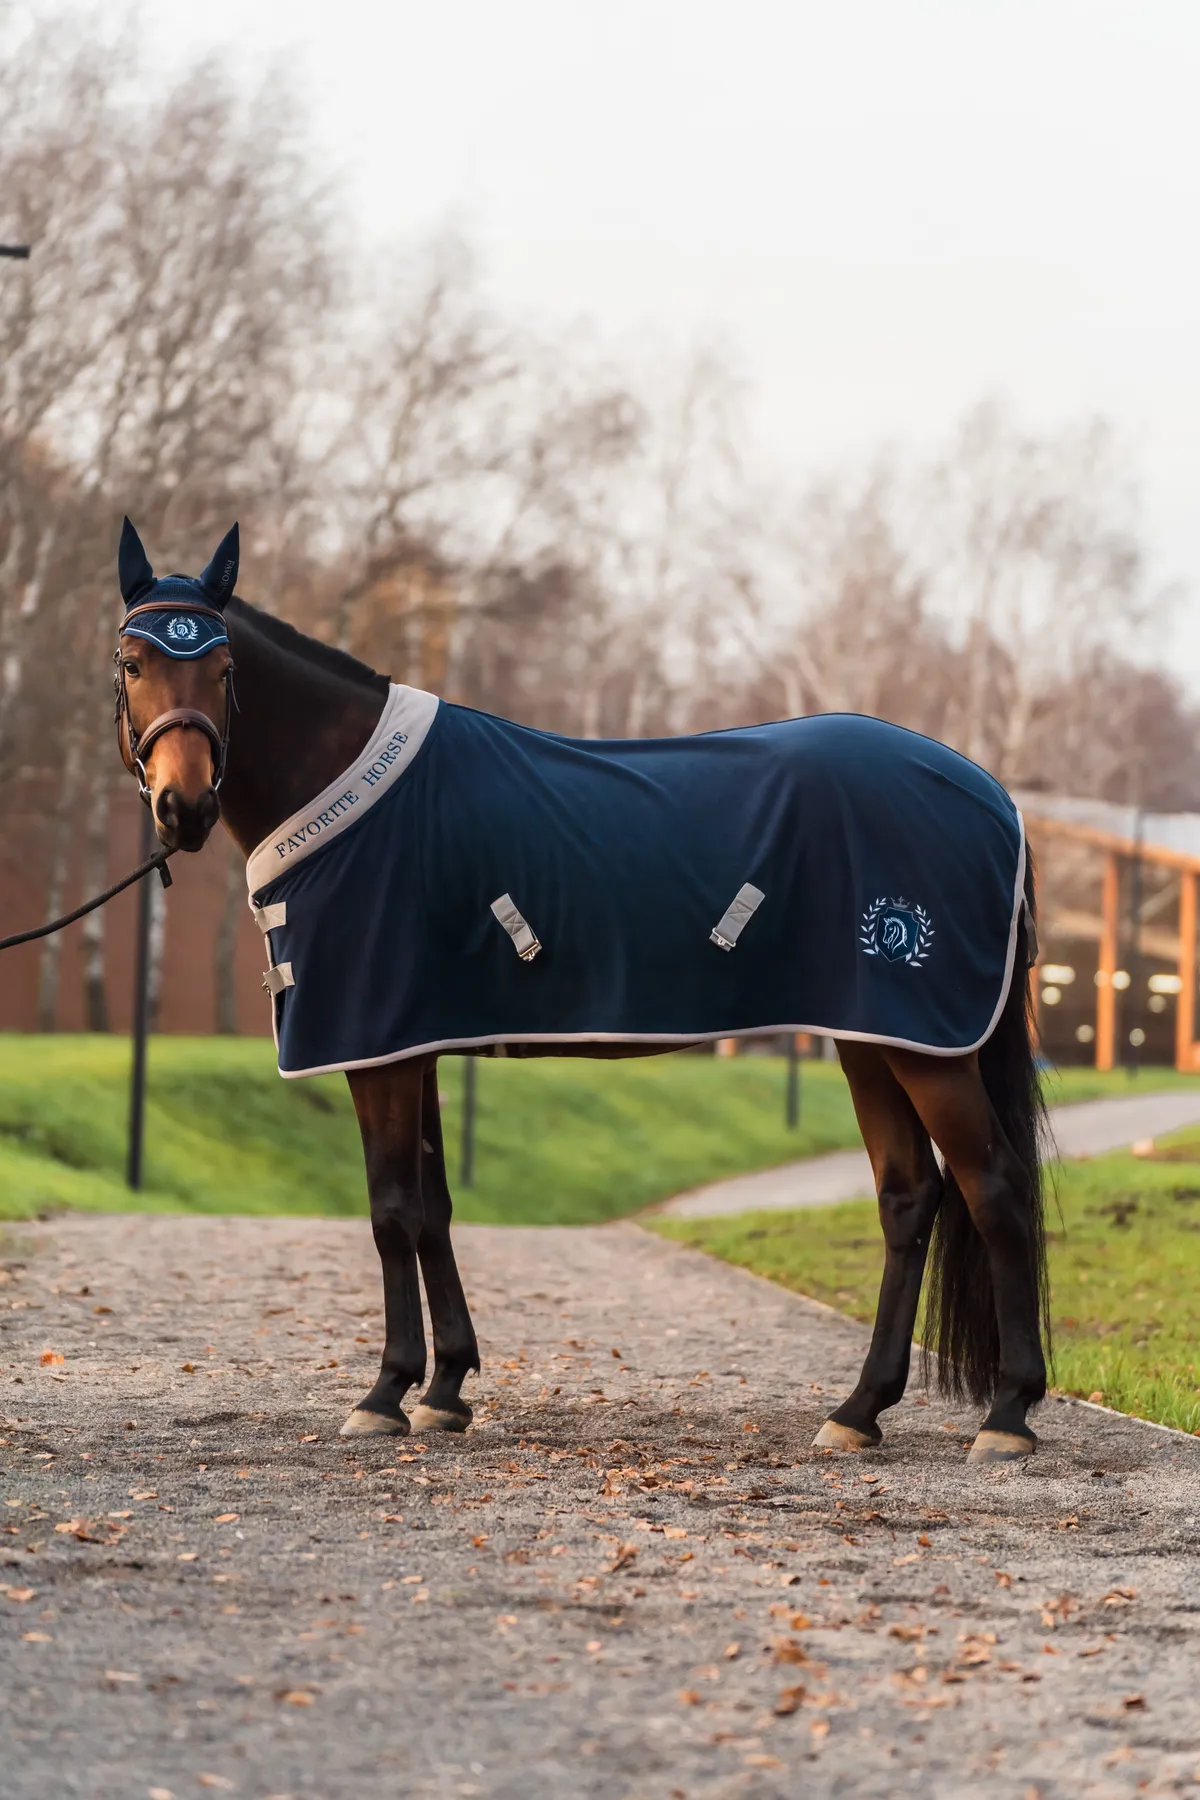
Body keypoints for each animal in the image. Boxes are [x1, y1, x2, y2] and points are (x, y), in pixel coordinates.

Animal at [111, 518, 1049, 1463]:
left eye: (224, 668)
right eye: (133, 663)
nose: (182, 807)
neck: (348, 790)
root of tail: (994, 796)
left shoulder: (376, 1050)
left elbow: (390, 1212)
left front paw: (385, 1394)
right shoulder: (414, 1041)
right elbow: (433, 1209)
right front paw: (445, 1389)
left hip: (925, 1047)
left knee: (995, 1187)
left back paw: (1008, 1413)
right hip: (872, 1040)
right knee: (908, 1197)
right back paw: (859, 1410)